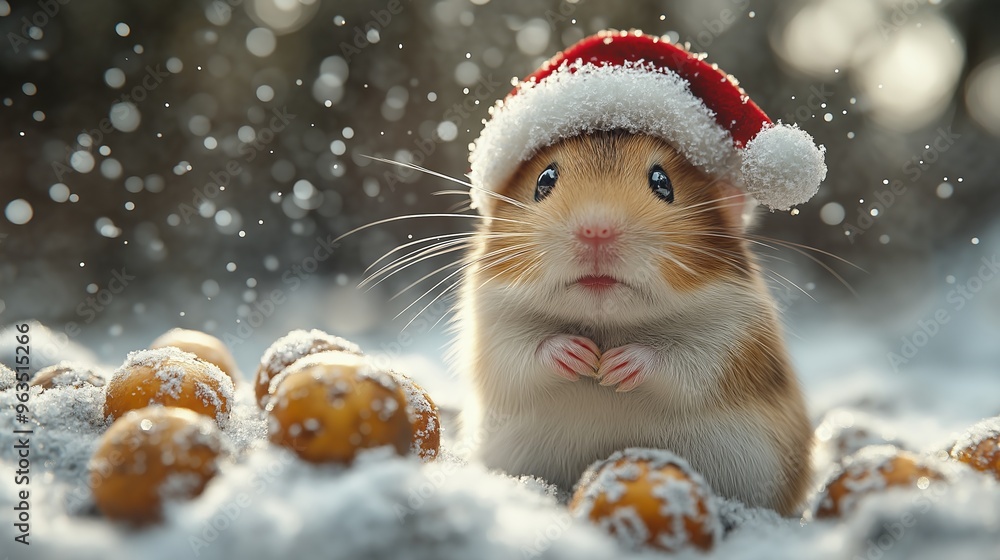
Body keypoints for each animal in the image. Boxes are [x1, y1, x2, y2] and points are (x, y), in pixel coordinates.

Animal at [453, 130, 812, 515]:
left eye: (663, 182)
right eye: (544, 180)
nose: (596, 230)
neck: (608, 326)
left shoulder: (731, 339)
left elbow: (681, 360)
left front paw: (613, 369)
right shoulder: (491, 329)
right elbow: (521, 351)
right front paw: (581, 357)